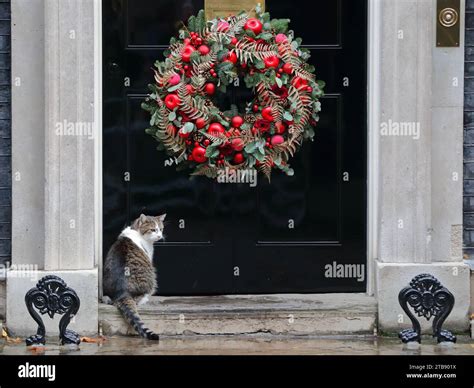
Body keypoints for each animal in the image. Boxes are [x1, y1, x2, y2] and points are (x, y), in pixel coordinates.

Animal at [103, 214, 166, 342]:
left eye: (161, 229)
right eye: (153, 230)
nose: (159, 236)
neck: (136, 230)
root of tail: (122, 292)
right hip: (152, 278)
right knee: (138, 299)